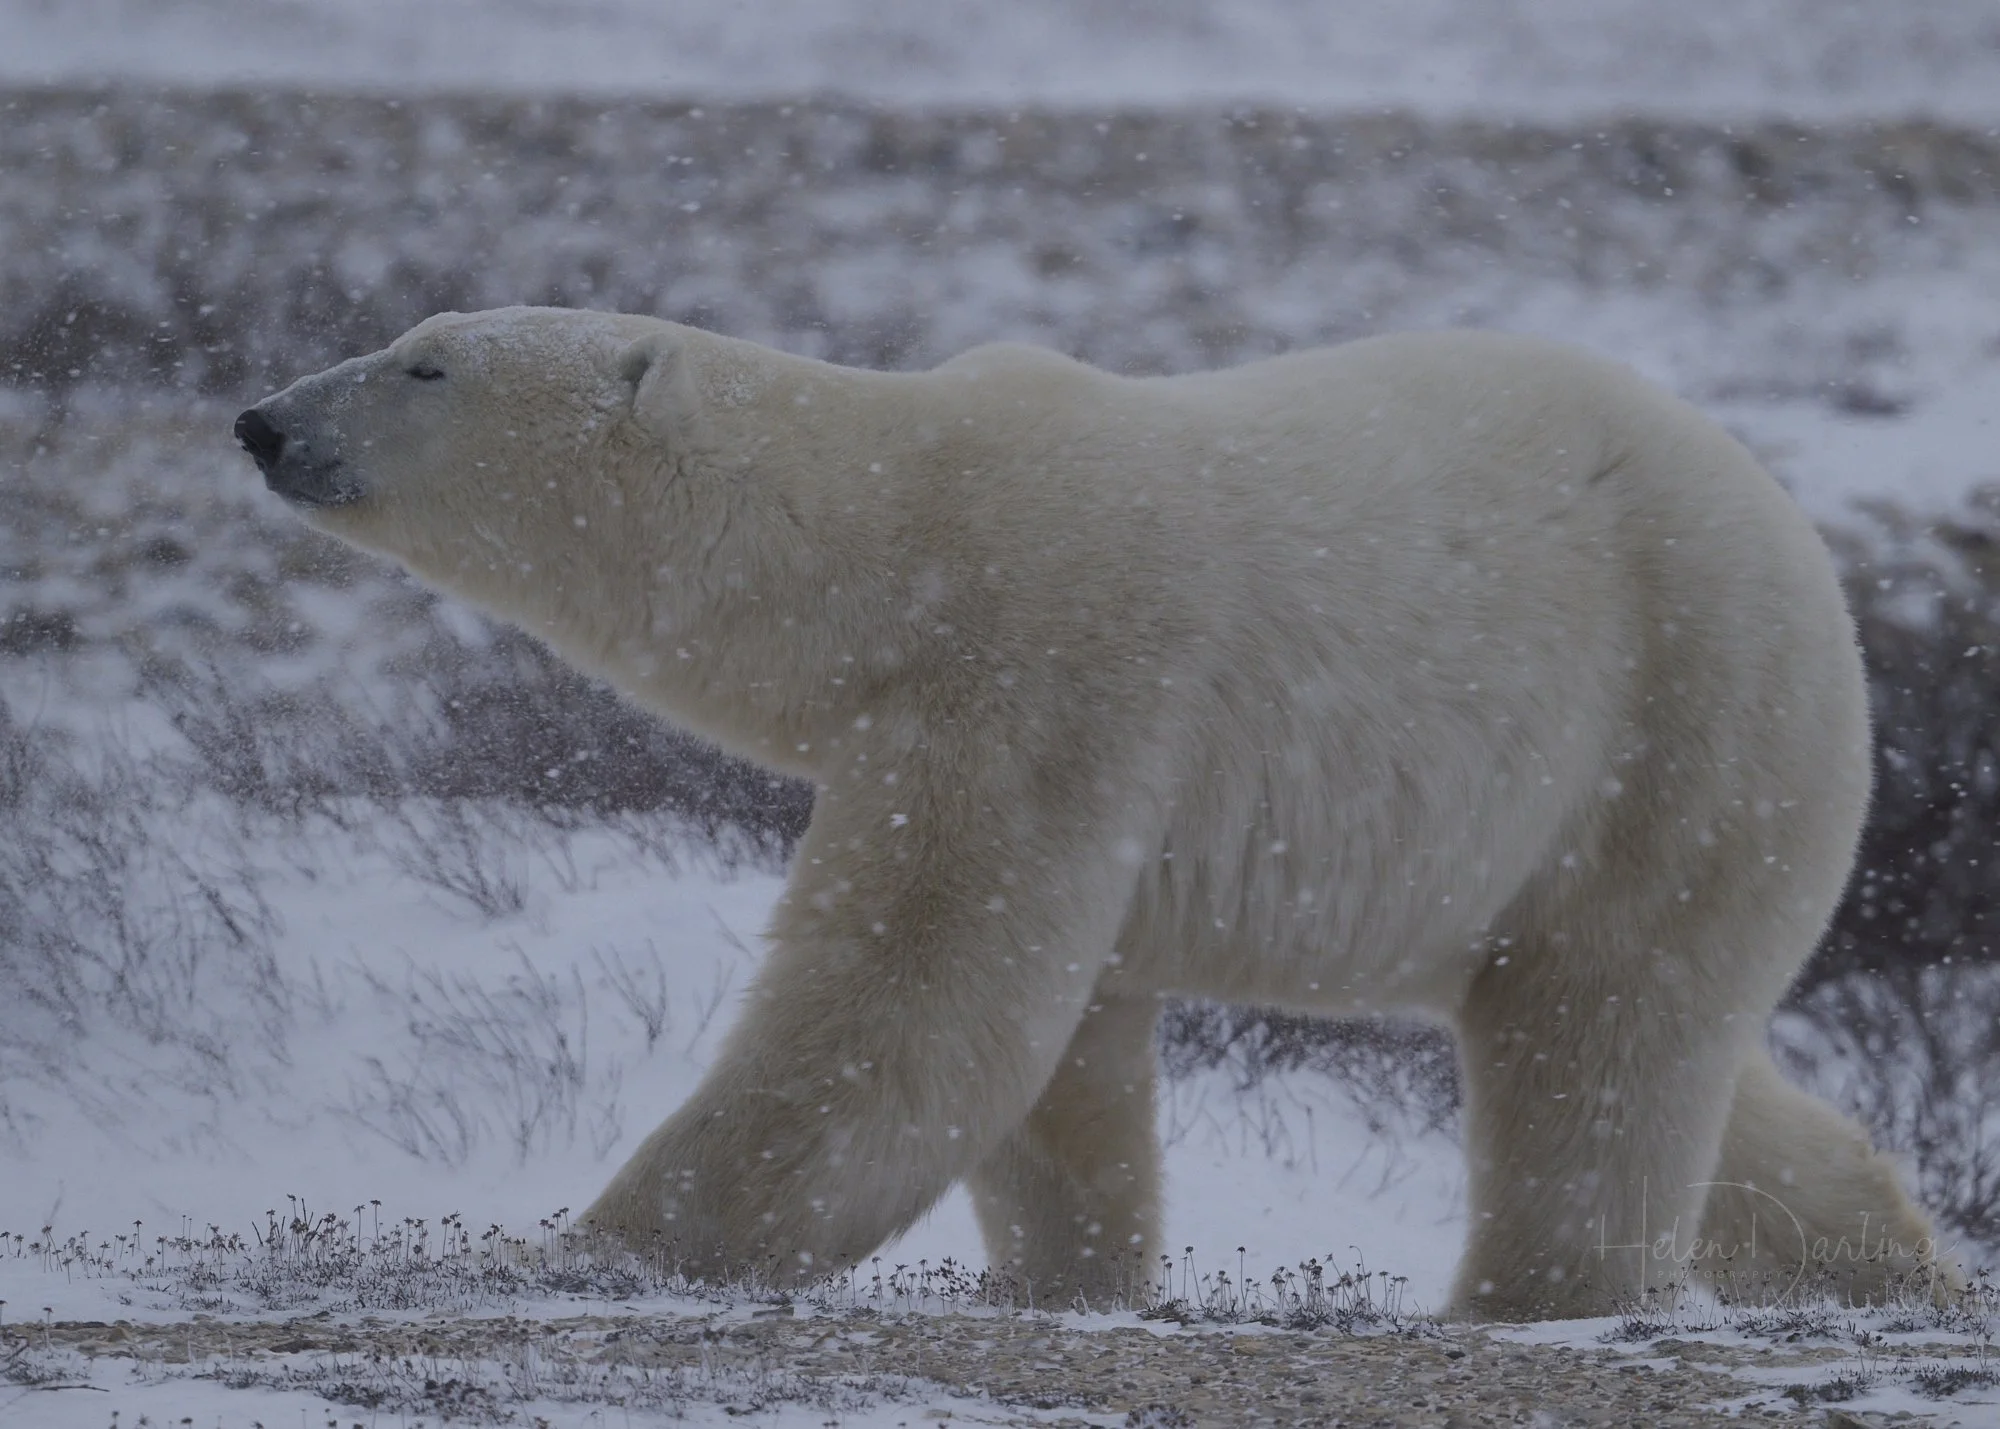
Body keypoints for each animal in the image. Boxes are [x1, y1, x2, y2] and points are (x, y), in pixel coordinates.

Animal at [236, 306, 1950, 1320]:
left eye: (425, 362)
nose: (262, 419)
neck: (897, 525)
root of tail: (1804, 545)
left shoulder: (1049, 669)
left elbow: (920, 998)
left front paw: (605, 1243)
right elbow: (1054, 1059)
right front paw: (1074, 1281)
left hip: (1678, 719)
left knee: (1607, 1041)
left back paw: (1534, 1299)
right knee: (1659, 1039)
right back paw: (1881, 1258)